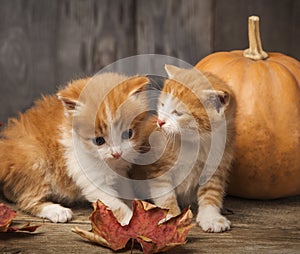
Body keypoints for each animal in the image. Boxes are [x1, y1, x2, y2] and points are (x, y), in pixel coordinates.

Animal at [0, 72, 149, 223]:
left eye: (128, 134)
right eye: (99, 140)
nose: (116, 153)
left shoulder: (121, 172)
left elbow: (126, 191)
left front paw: (135, 207)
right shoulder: (89, 176)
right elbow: (115, 205)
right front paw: (130, 220)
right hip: (36, 162)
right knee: (27, 201)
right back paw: (56, 211)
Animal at [130, 65, 236, 232]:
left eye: (178, 113)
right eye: (163, 105)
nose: (160, 121)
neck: (195, 143)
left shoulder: (217, 165)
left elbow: (211, 193)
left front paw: (211, 217)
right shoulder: (158, 168)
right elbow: (165, 194)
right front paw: (171, 217)